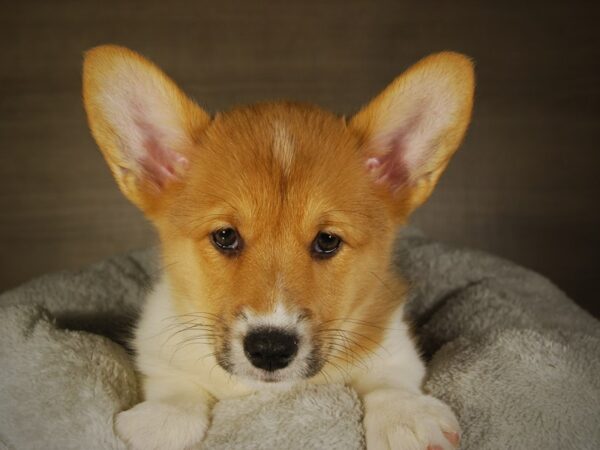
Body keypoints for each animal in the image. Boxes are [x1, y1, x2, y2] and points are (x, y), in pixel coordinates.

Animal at [82, 46, 474, 450]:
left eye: (327, 240)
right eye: (225, 236)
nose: (270, 349)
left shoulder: (391, 343)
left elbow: (390, 378)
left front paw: (406, 414)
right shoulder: (161, 348)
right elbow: (175, 385)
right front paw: (163, 419)